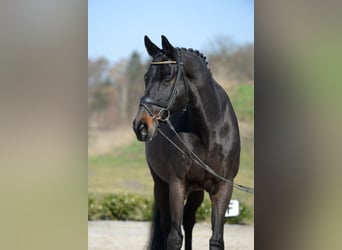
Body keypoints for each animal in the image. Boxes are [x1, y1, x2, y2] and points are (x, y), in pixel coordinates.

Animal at [132, 35, 240, 250]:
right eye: (146, 77)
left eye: (167, 77)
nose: (140, 126)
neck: (209, 132)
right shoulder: (177, 184)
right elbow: (174, 238)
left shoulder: (224, 187)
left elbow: (216, 239)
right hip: (161, 185)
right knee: (167, 225)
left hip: (197, 191)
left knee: (189, 221)